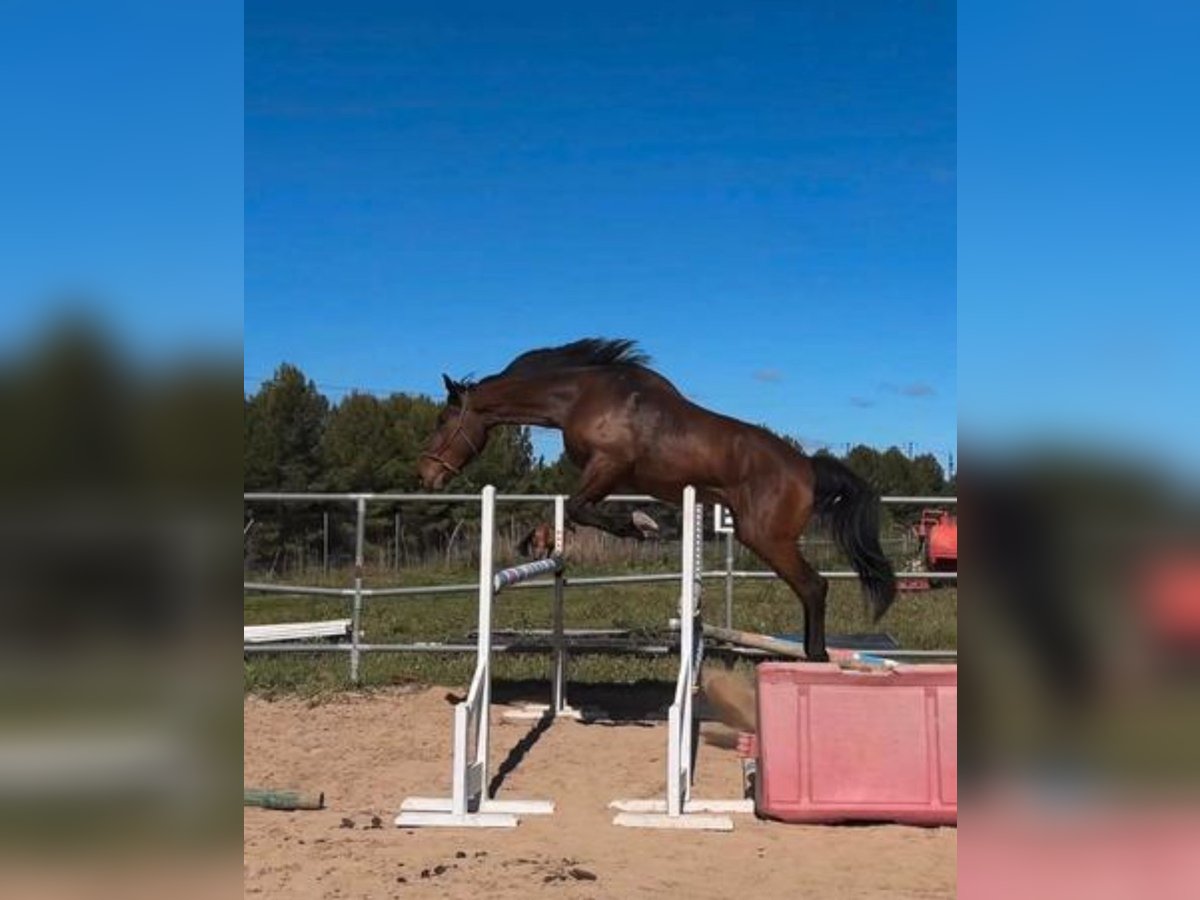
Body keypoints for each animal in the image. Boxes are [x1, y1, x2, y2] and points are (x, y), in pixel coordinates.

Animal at [417, 338, 896, 662]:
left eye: (442, 419)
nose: (425, 474)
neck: (580, 396)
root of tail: (807, 467)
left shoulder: (609, 465)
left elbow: (581, 508)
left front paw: (642, 526)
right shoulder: (604, 474)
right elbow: (572, 509)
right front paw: (536, 542)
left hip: (767, 537)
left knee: (814, 586)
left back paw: (816, 658)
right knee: (810, 588)